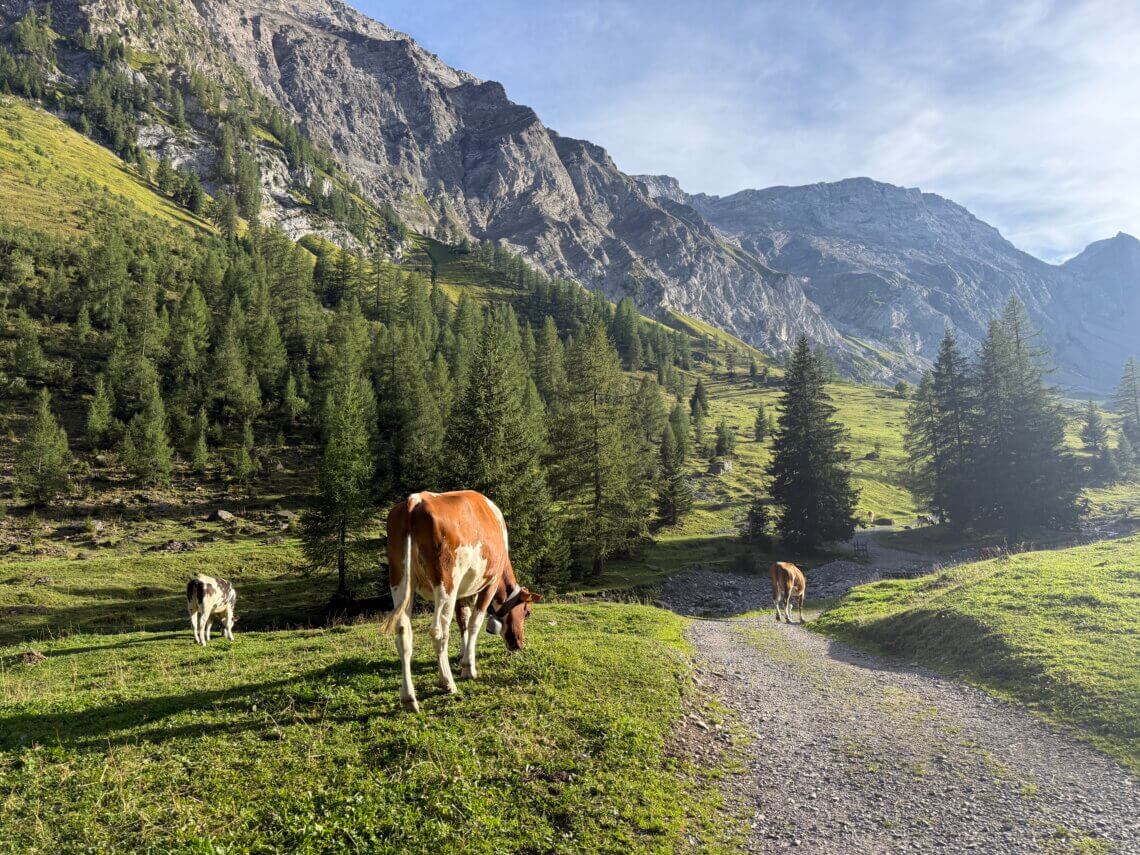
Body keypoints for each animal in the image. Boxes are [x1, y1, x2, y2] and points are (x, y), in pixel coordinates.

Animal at [379, 490, 543, 713]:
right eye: (527, 613)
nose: (519, 644)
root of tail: (415, 500)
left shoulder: (463, 592)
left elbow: (463, 622)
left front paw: (463, 654)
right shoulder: (489, 584)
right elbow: (474, 624)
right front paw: (468, 667)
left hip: (400, 580)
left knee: (403, 632)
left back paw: (408, 698)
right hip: (446, 582)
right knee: (438, 631)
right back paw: (447, 682)